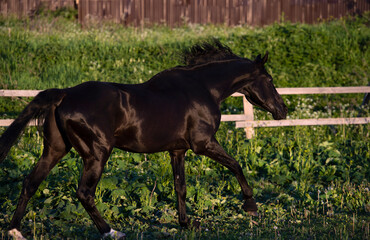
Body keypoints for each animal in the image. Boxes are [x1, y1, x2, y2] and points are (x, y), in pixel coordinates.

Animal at [0, 40, 286, 239]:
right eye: (270, 79)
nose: (282, 110)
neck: (203, 88)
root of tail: (65, 94)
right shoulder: (203, 144)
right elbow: (236, 165)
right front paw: (251, 206)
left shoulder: (178, 150)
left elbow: (180, 186)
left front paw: (186, 223)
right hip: (97, 153)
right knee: (84, 193)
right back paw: (111, 232)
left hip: (55, 149)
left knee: (30, 183)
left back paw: (15, 231)